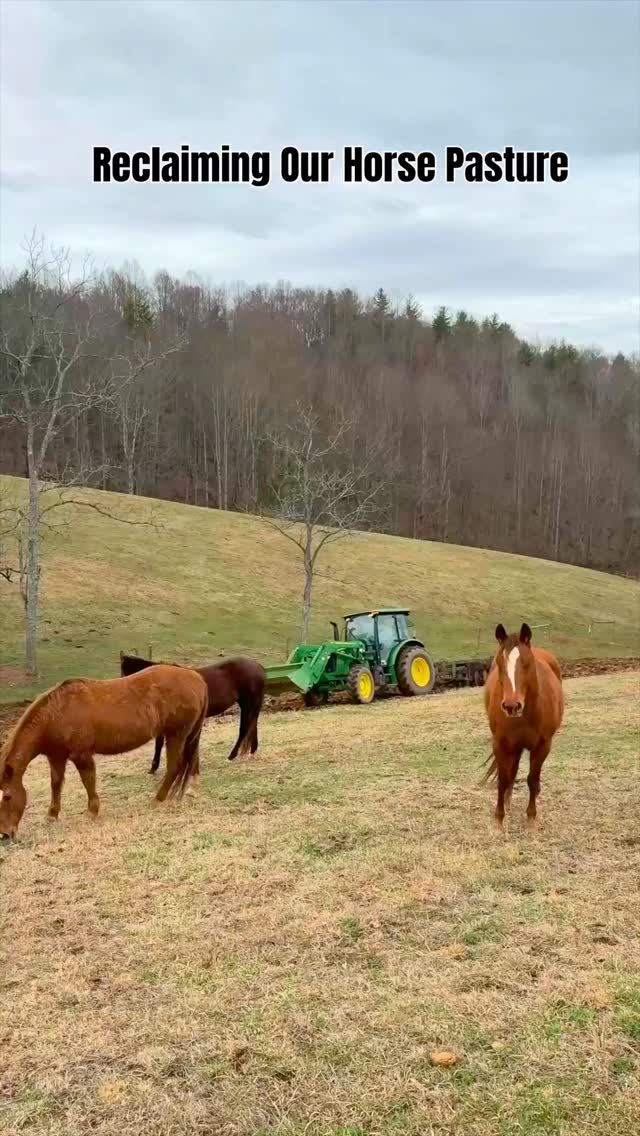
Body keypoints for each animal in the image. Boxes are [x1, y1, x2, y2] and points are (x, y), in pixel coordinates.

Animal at [0, 664, 208, 841]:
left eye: (8, 796)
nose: (4, 834)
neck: (57, 713)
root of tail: (196, 678)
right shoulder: (56, 757)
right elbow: (56, 785)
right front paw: (52, 815)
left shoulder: (81, 756)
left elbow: (88, 781)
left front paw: (92, 811)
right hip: (187, 735)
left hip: (176, 735)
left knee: (174, 766)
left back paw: (158, 799)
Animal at [119, 652, 266, 770]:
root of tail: (258, 666)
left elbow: (160, 743)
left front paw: (155, 767)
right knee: (252, 725)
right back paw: (252, 750)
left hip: (248, 703)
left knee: (245, 728)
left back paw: (232, 755)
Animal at [483, 622, 564, 829]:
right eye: (499, 664)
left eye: (526, 662)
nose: (512, 705)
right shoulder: (500, 744)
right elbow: (503, 779)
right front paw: (499, 818)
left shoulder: (543, 746)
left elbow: (532, 779)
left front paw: (531, 817)